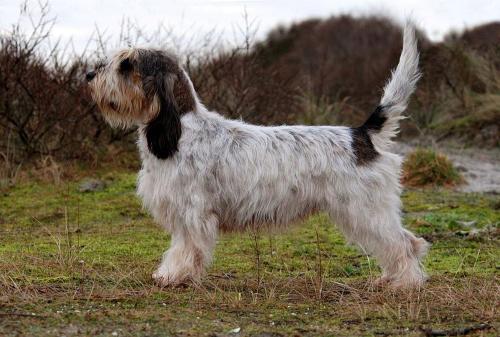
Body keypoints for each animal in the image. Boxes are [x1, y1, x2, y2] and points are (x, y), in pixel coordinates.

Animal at [87, 23, 430, 286]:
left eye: (127, 65)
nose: (89, 75)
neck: (181, 129)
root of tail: (361, 134)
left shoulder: (192, 213)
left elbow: (185, 249)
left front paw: (175, 276)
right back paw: (390, 279)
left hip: (367, 211)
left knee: (406, 244)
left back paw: (404, 284)